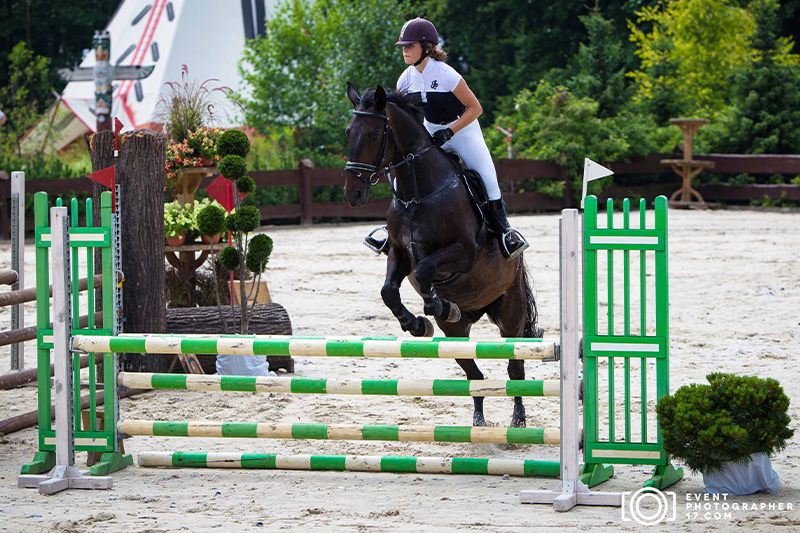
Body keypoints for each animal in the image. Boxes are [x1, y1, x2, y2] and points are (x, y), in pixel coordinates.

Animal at [343, 83, 540, 427]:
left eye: (374, 135)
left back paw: (517, 418)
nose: (352, 194)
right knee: (473, 373)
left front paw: (436, 305)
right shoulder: (399, 254)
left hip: (510, 313)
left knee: (514, 366)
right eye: (348, 131)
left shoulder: (462, 252)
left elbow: (425, 271)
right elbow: (389, 290)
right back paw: (478, 417)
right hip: (457, 333)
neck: (417, 194)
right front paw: (417, 324)